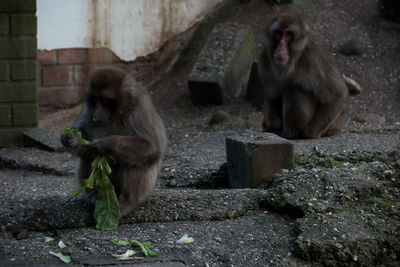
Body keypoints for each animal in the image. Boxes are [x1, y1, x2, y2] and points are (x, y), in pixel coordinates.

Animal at [60, 66, 167, 218]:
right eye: (95, 100)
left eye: (104, 100)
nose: (98, 109)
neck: (117, 115)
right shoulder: (88, 108)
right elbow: (84, 140)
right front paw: (70, 138)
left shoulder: (140, 109)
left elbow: (151, 147)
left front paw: (105, 144)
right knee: (88, 156)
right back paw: (94, 195)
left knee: (135, 161)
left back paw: (128, 201)